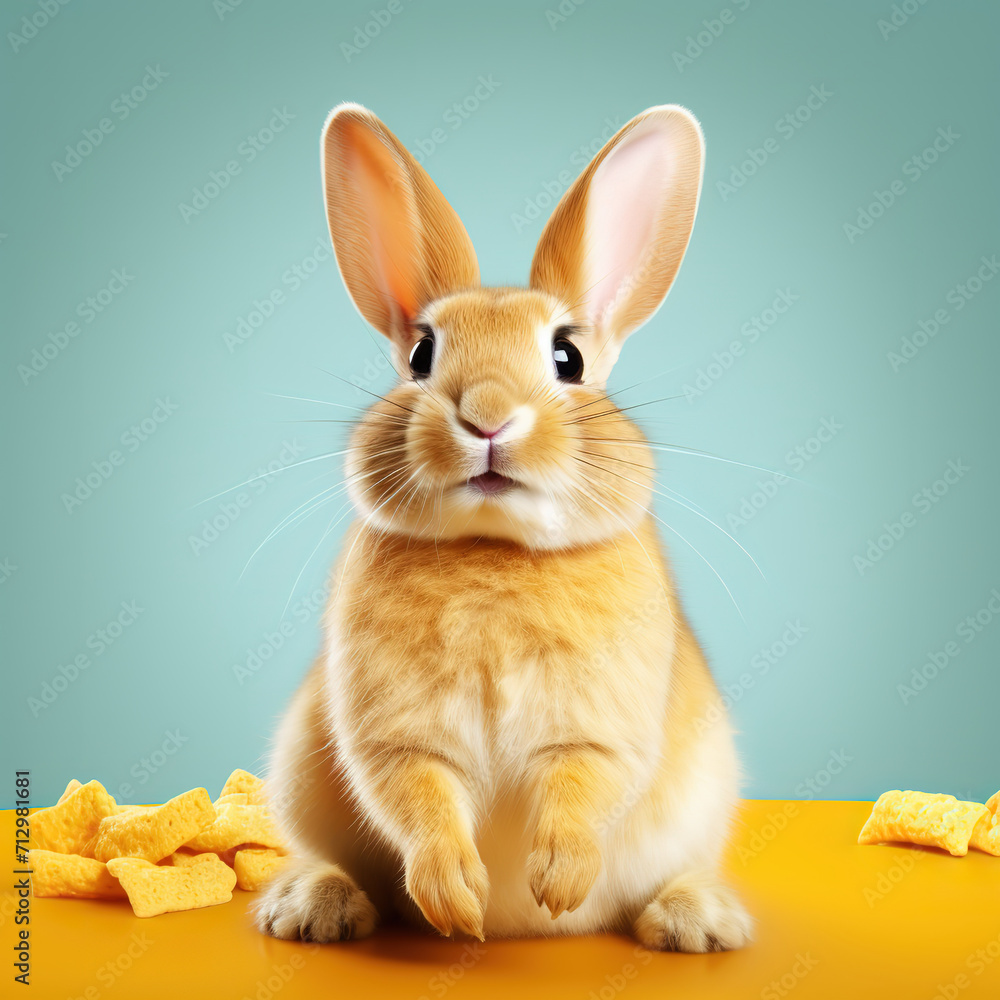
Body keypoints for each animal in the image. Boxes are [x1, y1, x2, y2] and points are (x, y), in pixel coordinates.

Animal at [254, 102, 753, 952]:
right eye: (422, 355)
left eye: (568, 357)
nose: (486, 414)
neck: (494, 549)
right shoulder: (394, 736)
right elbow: (419, 797)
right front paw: (458, 905)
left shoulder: (599, 730)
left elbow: (582, 784)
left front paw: (555, 884)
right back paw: (313, 906)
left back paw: (697, 922)